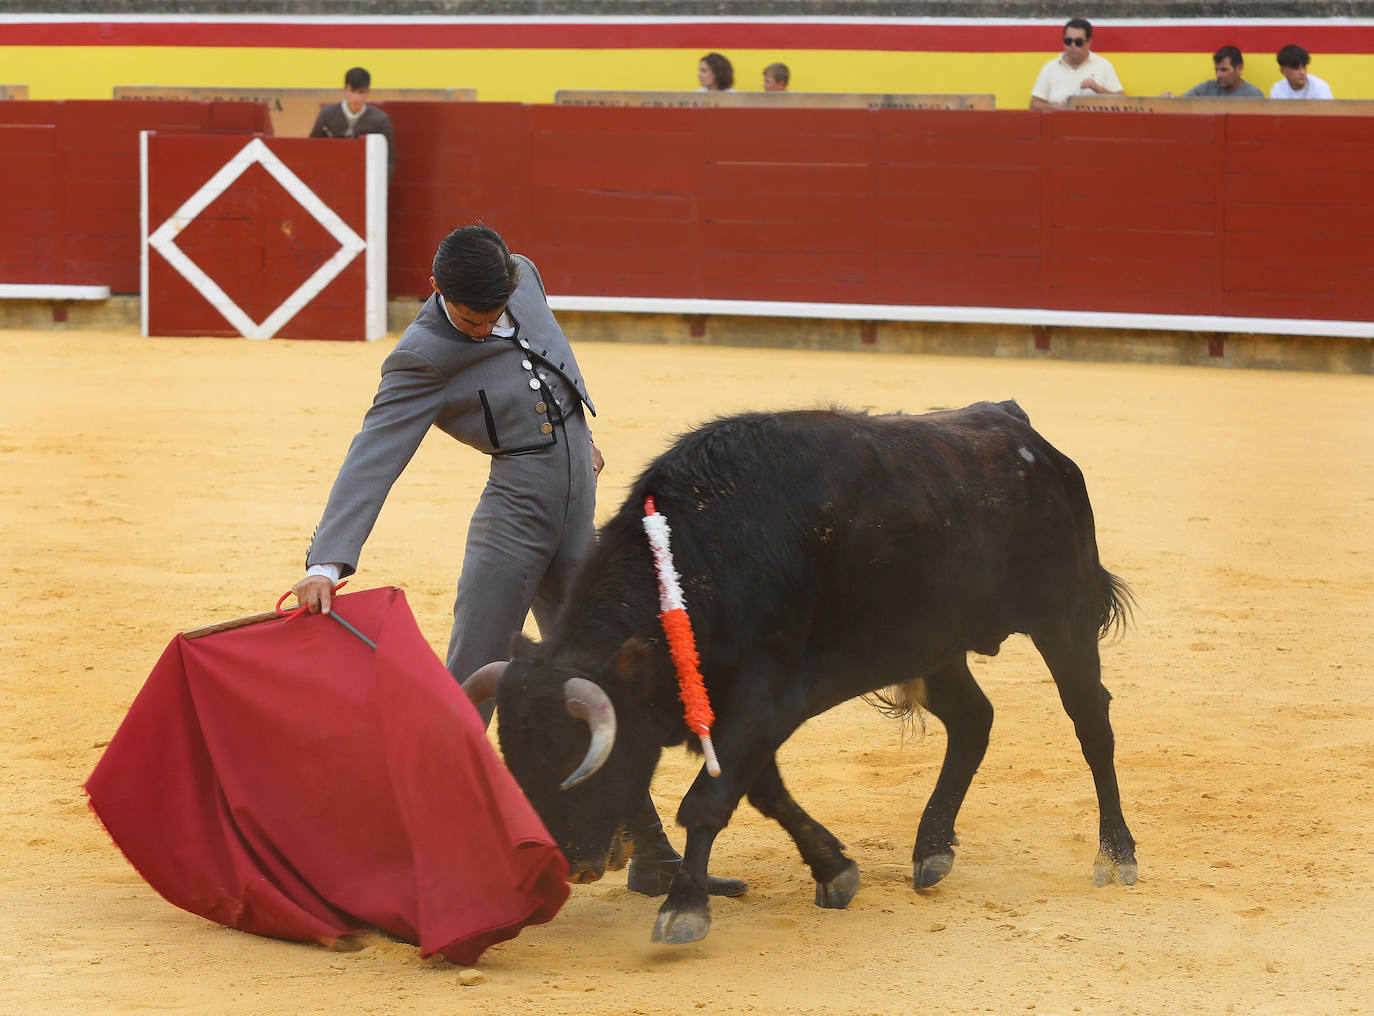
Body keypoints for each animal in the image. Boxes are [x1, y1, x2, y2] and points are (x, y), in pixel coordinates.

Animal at [467, 398, 1132, 945]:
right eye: (514, 764)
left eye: (581, 757)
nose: (575, 863)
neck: (701, 557)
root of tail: (1023, 433)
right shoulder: (733, 711)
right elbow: (766, 793)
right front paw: (835, 870)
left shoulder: (765, 700)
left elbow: (706, 802)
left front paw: (684, 908)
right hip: (932, 644)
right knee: (973, 720)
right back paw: (932, 850)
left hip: (1064, 614)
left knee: (1090, 723)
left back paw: (1117, 854)